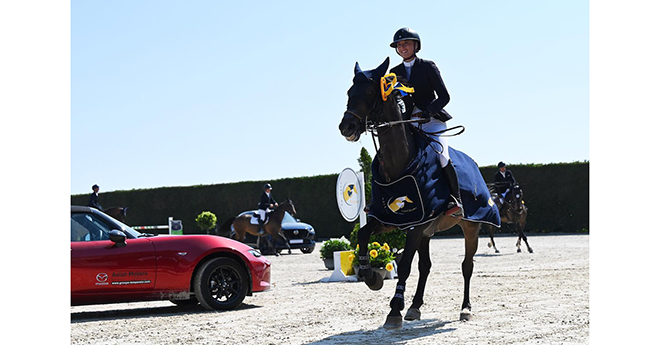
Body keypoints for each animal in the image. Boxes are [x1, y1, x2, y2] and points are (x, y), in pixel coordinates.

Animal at [340, 57, 490, 328]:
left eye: (370, 92)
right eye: (349, 92)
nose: (346, 126)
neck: (398, 164)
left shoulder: (416, 224)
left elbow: (405, 265)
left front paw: (394, 309)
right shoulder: (390, 218)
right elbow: (364, 235)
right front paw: (370, 276)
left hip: (470, 226)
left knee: (467, 265)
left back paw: (465, 308)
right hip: (427, 232)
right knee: (426, 266)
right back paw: (415, 307)